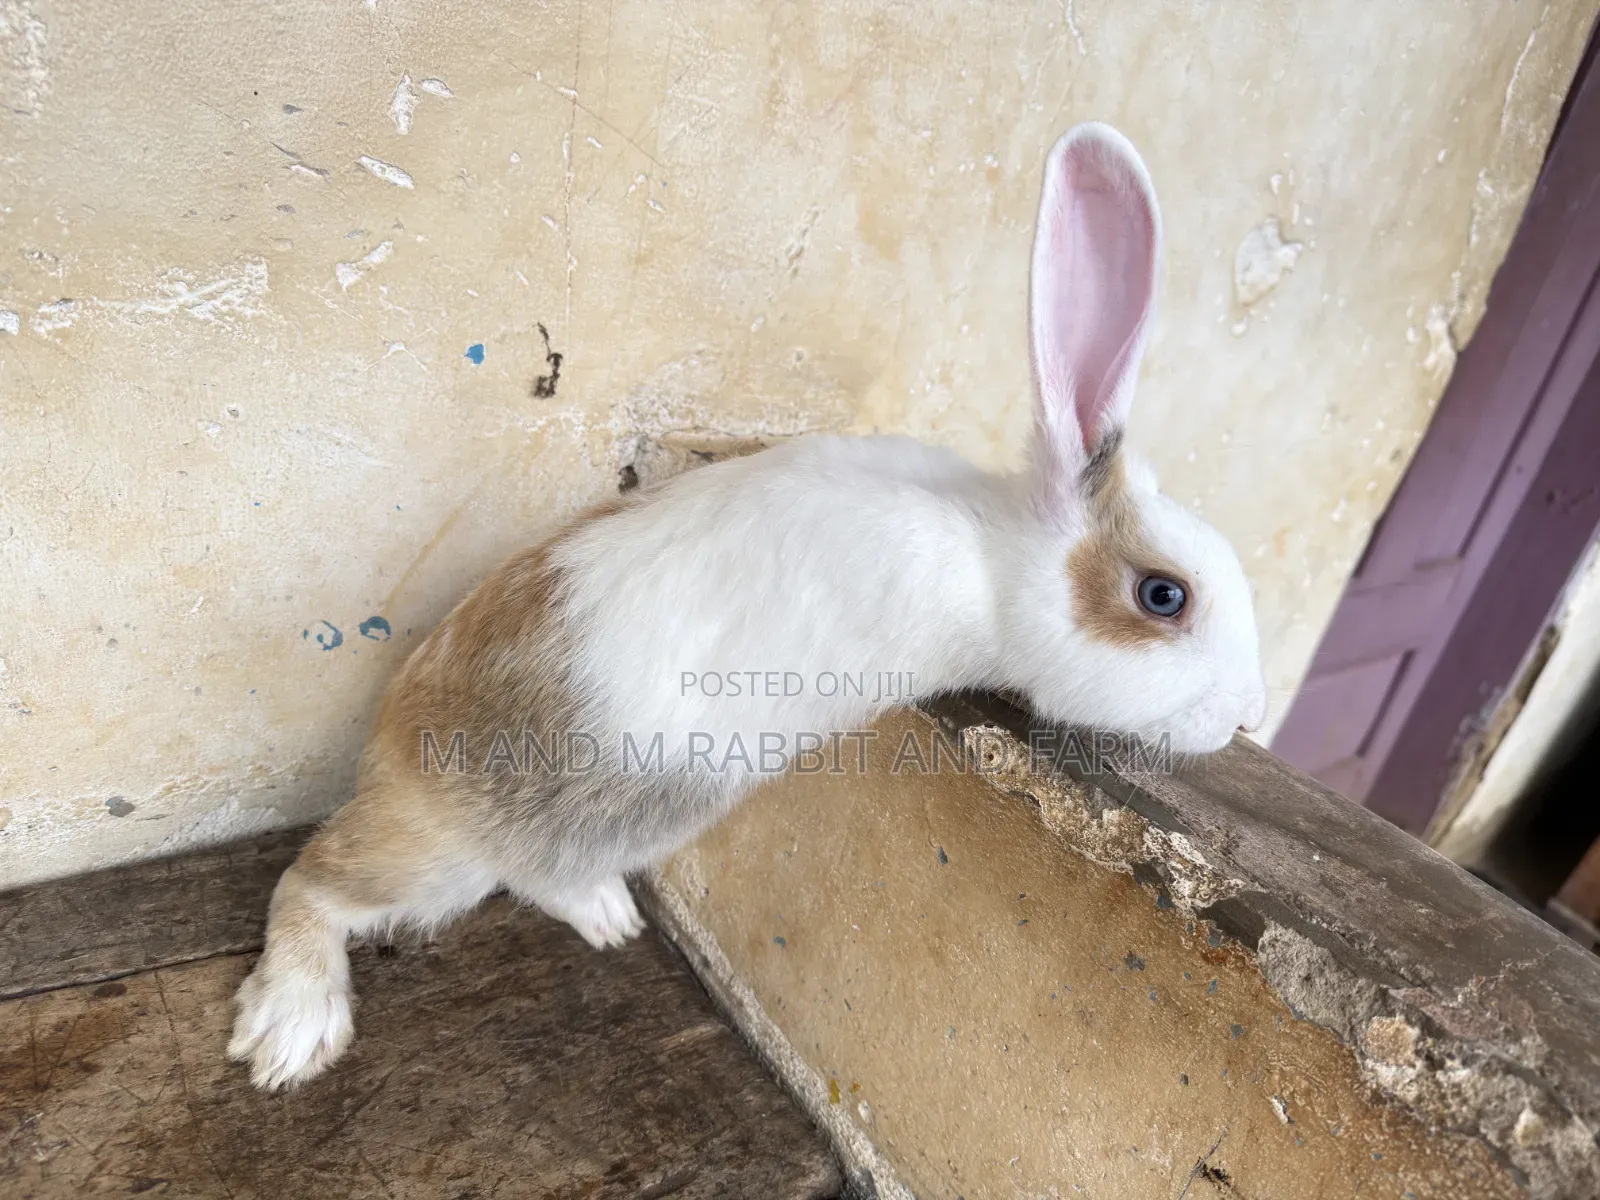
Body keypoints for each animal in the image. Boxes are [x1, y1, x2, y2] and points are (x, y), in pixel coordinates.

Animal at [228, 122, 1267, 1090]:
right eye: (1164, 595)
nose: (1246, 714)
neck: (989, 551)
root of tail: (388, 755)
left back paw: (607, 921)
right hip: (489, 838)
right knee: (316, 883)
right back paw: (293, 1033)